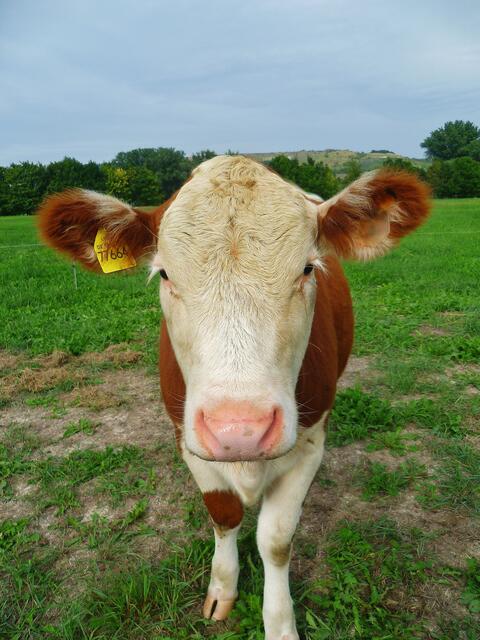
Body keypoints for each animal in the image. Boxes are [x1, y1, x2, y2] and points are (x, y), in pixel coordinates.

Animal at [36, 156, 428, 640]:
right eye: (164, 273)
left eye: (308, 269)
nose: (239, 430)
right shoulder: (189, 441)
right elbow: (224, 515)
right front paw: (222, 589)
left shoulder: (310, 442)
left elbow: (275, 540)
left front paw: (280, 623)